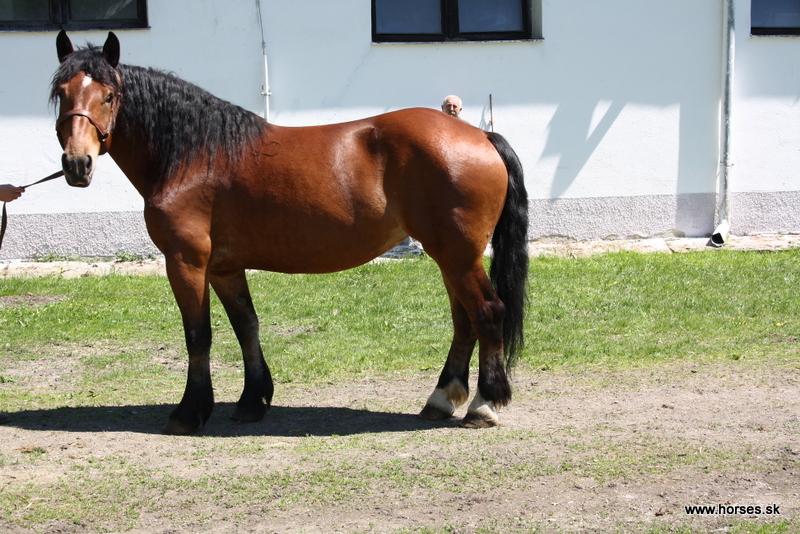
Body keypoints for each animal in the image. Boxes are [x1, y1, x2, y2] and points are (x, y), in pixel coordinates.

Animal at [51, 31, 529, 435]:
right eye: (61, 93)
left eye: (109, 95)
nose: (77, 164)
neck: (195, 155)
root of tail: (480, 136)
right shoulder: (224, 267)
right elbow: (246, 325)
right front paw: (252, 401)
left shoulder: (186, 261)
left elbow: (198, 334)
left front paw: (189, 412)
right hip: (449, 256)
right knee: (464, 321)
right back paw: (440, 399)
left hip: (458, 255)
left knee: (487, 313)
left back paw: (483, 405)